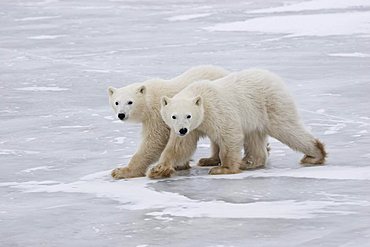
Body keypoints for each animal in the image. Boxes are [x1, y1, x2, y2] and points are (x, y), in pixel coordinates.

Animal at [147, 68, 326, 178]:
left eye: (188, 115)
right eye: (173, 116)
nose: (182, 129)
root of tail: (273, 77)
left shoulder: (217, 111)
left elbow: (229, 134)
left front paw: (223, 168)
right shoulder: (192, 129)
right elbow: (180, 147)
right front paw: (157, 169)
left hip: (270, 105)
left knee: (288, 129)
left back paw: (315, 154)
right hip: (255, 117)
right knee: (254, 139)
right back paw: (248, 162)